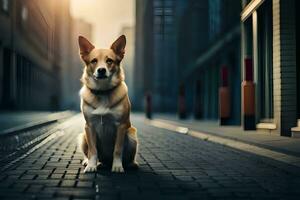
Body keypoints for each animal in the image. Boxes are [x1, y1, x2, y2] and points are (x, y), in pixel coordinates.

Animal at [77, 35, 138, 173]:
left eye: (109, 61)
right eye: (94, 61)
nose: (101, 70)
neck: (102, 91)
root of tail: (106, 161)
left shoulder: (121, 126)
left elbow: (118, 149)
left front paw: (117, 166)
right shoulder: (89, 126)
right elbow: (93, 150)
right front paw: (91, 165)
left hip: (132, 134)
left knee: (128, 157)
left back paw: (130, 164)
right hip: (83, 137)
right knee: (90, 153)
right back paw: (93, 162)